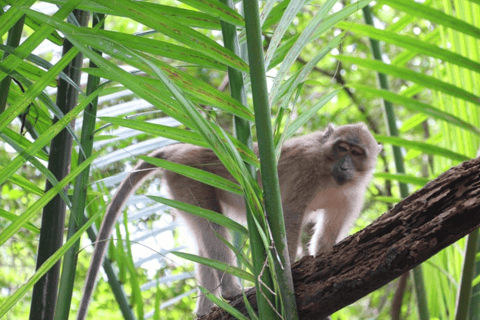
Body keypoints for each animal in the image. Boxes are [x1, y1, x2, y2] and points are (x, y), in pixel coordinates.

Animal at [78, 122, 382, 318]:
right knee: (214, 228)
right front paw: (288, 274)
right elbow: (288, 216)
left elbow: (326, 239)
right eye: (341, 147)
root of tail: (177, 150)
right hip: (189, 177)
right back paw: (231, 291)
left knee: (203, 238)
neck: (330, 176)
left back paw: (205, 309)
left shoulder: (351, 196)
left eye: (356, 153)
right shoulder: (307, 169)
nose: (345, 166)